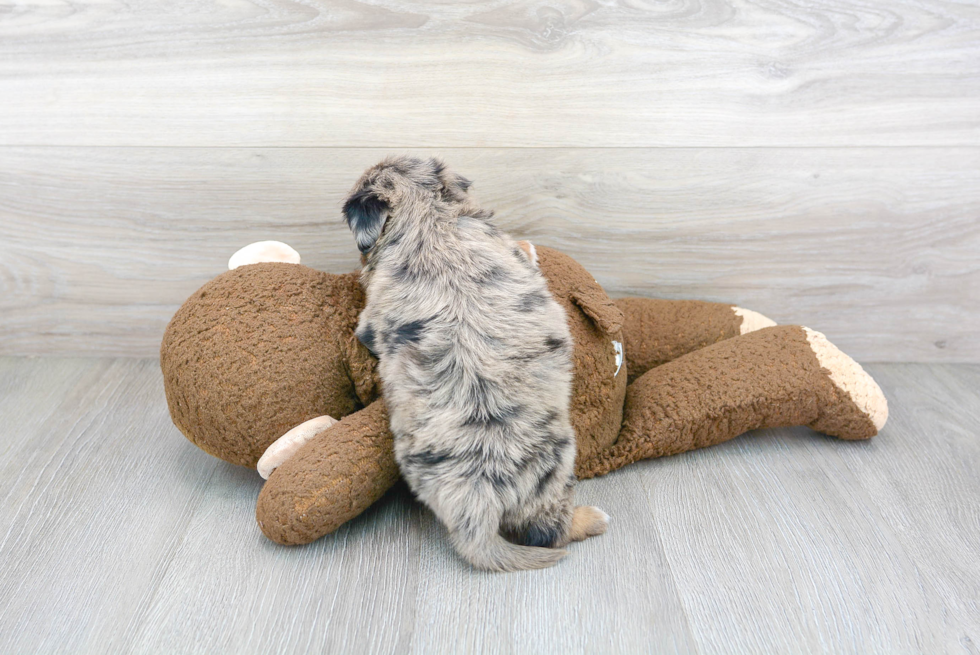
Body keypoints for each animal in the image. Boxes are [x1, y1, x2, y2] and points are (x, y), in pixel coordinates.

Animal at [342, 156, 604, 572]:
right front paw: (531, 246)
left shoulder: (370, 323)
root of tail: (477, 507)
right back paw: (592, 519)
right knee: (550, 531)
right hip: (557, 467)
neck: (429, 218)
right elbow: (522, 250)